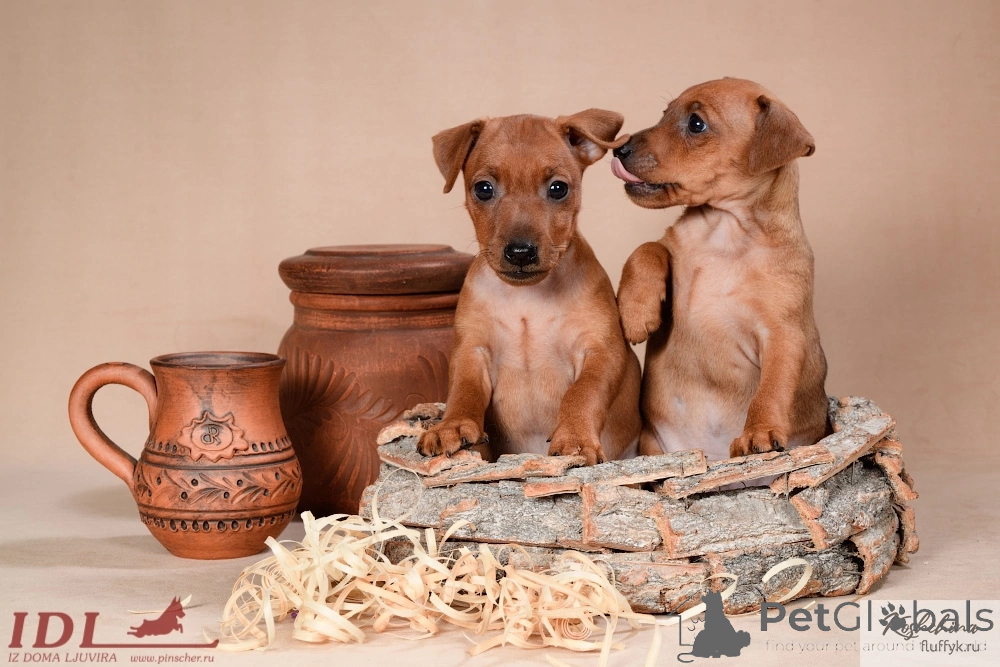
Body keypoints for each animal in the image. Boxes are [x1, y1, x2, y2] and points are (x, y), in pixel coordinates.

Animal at [417, 111, 642, 465]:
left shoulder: (601, 351)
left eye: (558, 188)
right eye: (483, 189)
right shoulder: (471, 351)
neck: (527, 300)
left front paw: (575, 437)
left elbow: (583, 393)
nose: (520, 252)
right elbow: (463, 391)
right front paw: (451, 426)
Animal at [610, 78, 828, 462]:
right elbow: (647, 249)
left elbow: (771, 388)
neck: (723, 233)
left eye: (696, 124)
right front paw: (637, 312)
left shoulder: (782, 335)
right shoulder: (672, 249)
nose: (619, 149)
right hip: (651, 446)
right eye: (665, 114)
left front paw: (759, 433)